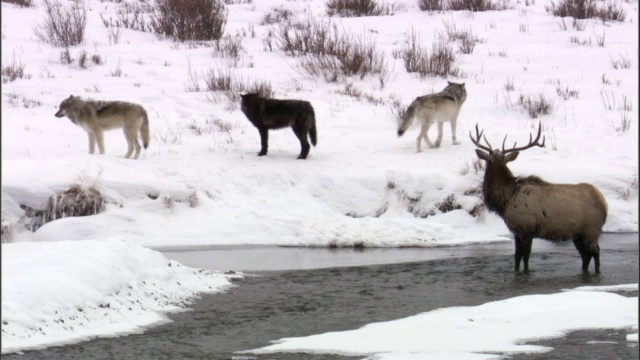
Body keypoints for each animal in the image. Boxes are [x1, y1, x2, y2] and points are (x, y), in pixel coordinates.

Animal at [468, 124, 608, 272]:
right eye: (491, 157)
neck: (505, 201)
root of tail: (604, 203)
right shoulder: (516, 231)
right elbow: (517, 256)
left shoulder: (526, 228)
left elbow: (526, 255)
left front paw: (526, 271)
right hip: (578, 234)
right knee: (585, 255)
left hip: (591, 230)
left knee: (595, 252)